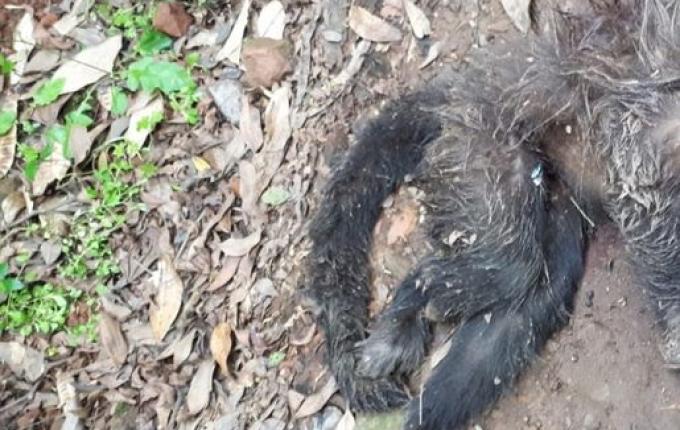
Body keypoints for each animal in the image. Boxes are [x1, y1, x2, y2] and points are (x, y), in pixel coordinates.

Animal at [305, 1, 680, 429]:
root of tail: (461, 86)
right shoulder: (642, 132)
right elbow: (641, 184)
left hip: (555, 199)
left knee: (531, 299)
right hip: (483, 149)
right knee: (507, 263)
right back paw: (408, 315)